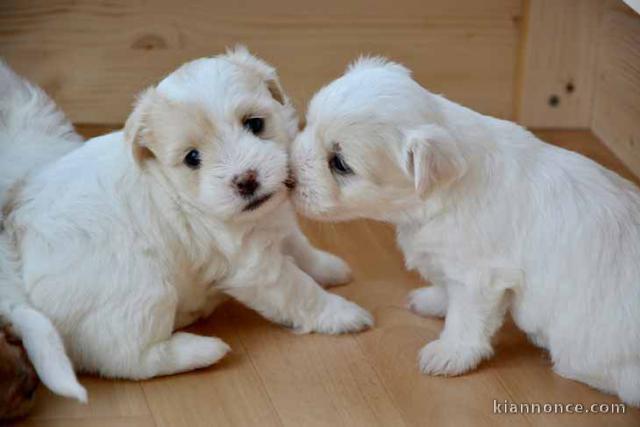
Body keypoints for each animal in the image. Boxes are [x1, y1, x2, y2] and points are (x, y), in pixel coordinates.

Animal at [1, 48, 370, 382]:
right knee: (128, 359)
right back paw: (201, 350)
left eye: (255, 124)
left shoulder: (275, 224)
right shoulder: (255, 267)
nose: (246, 180)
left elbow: (300, 248)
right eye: (193, 158)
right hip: (144, 292)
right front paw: (343, 313)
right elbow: (300, 291)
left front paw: (330, 268)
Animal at [292, 57, 640, 408]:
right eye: (307, 123)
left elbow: (466, 319)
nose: (288, 177)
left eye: (339, 163)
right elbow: (448, 290)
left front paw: (451, 352)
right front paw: (433, 301)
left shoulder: (480, 277)